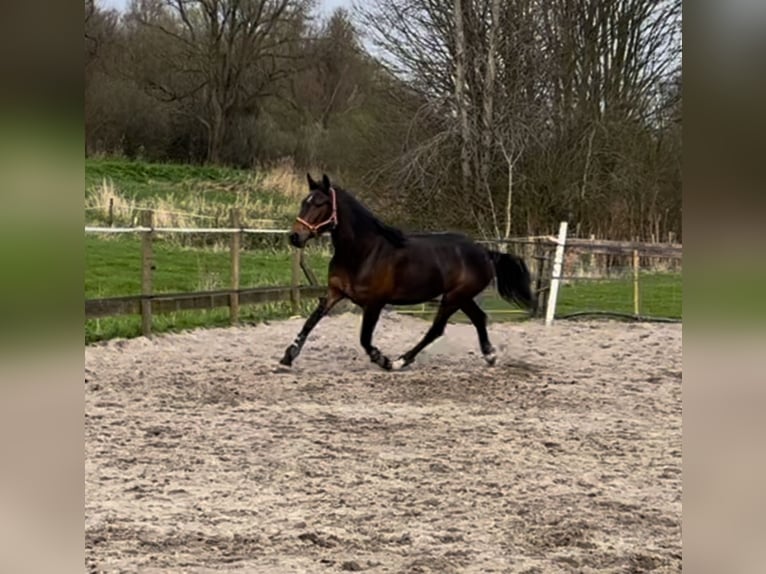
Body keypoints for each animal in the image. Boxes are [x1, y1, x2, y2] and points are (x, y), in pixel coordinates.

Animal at [280, 173, 536, 372]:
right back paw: (490, 356)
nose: (295, 237)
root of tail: (485, 251)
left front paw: (382, 359)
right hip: (461, 297)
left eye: (320, 204)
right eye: (304, 202)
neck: (363, 252)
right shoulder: (335, 293)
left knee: (436, 329)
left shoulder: (374, 303)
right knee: (478, 318)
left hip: (454, 298)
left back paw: (401, 361)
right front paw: (287, 358)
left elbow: (365, 339)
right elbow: (310, 322)